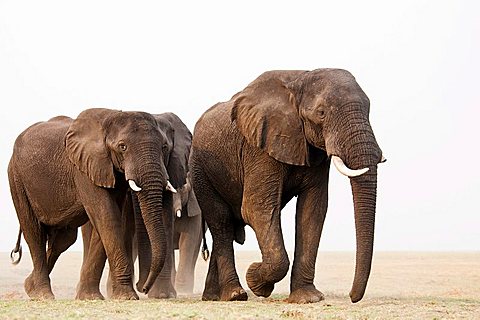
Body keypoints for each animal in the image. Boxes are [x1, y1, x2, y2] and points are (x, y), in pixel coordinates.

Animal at [7, 108, 177, 300]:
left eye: (164, 147)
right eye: (122, 147)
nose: (144, 289)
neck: (111, 117)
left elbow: (106, 220)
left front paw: (90, 297)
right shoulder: (83, 169)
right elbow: (107, 217)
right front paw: (126, 297)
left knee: (63, 240)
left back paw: (30, 287)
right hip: (16, 178)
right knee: (34, 233)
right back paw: (43, 294)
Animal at [189, 69, 384, 304]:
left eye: (369, 109)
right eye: (321, 113)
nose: (352, 296)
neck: (300, 80)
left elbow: (312, 211)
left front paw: (308, 298)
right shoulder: (259, 146)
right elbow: (257, 209)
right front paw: (257, 281)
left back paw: (213, 296)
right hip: (200, 170)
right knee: (222, 224)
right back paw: (235, 295)